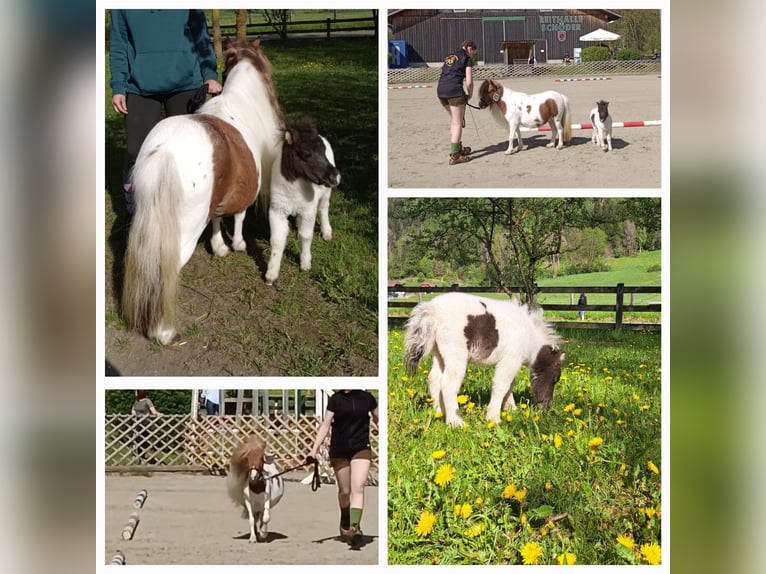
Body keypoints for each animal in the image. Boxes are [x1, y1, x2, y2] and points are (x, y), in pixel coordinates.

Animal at [121, 40, 284, 348]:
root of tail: (165, 151)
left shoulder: (218, 197)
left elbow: (218, 218)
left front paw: (219, 246)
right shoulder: (245, 192)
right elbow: (240, 216)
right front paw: (238, 245)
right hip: (180, 237)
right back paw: (164, 332)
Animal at [408, 294, 564, 430]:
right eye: (555, 379)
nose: (546, 407)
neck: (529, 336)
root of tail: (432, 310)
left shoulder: (511, 362)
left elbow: (509, 385)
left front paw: (510, 409)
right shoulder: (510, 360)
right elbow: (501, 386)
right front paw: (493, 417)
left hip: (439, 354)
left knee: (433, 379)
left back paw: (439, 412)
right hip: (456, 355)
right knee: (448, 384)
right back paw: (455, 422)